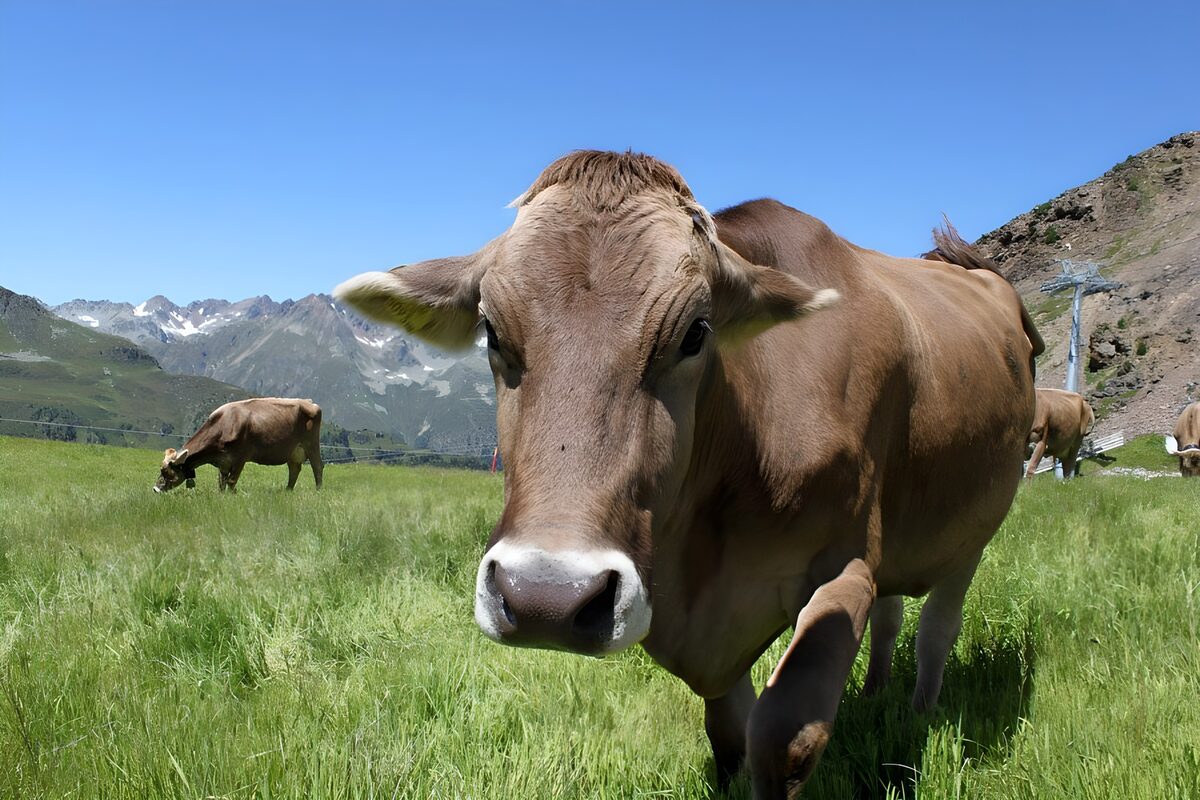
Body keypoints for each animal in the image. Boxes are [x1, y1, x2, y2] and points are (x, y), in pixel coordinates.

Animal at [153, 398, 324, 493]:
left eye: (166, 471)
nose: (155, 489)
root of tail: (310, 402)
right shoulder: (223, 461)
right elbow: (221, 482)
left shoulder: (240, 458)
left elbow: (231, 481)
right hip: (292, 451)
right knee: (294, 469)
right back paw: (287, 491)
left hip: (311, 444)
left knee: (317, 466)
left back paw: (318, 490)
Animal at [334, 151, 1041, 797]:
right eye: (492, 331)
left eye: (697, 332)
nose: (546, 600)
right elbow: (730, 733)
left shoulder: (846, 565)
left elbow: (782, 736)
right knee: (895, 614)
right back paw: (875, 695)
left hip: (976, 528)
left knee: (938, 626)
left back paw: (918, 714)